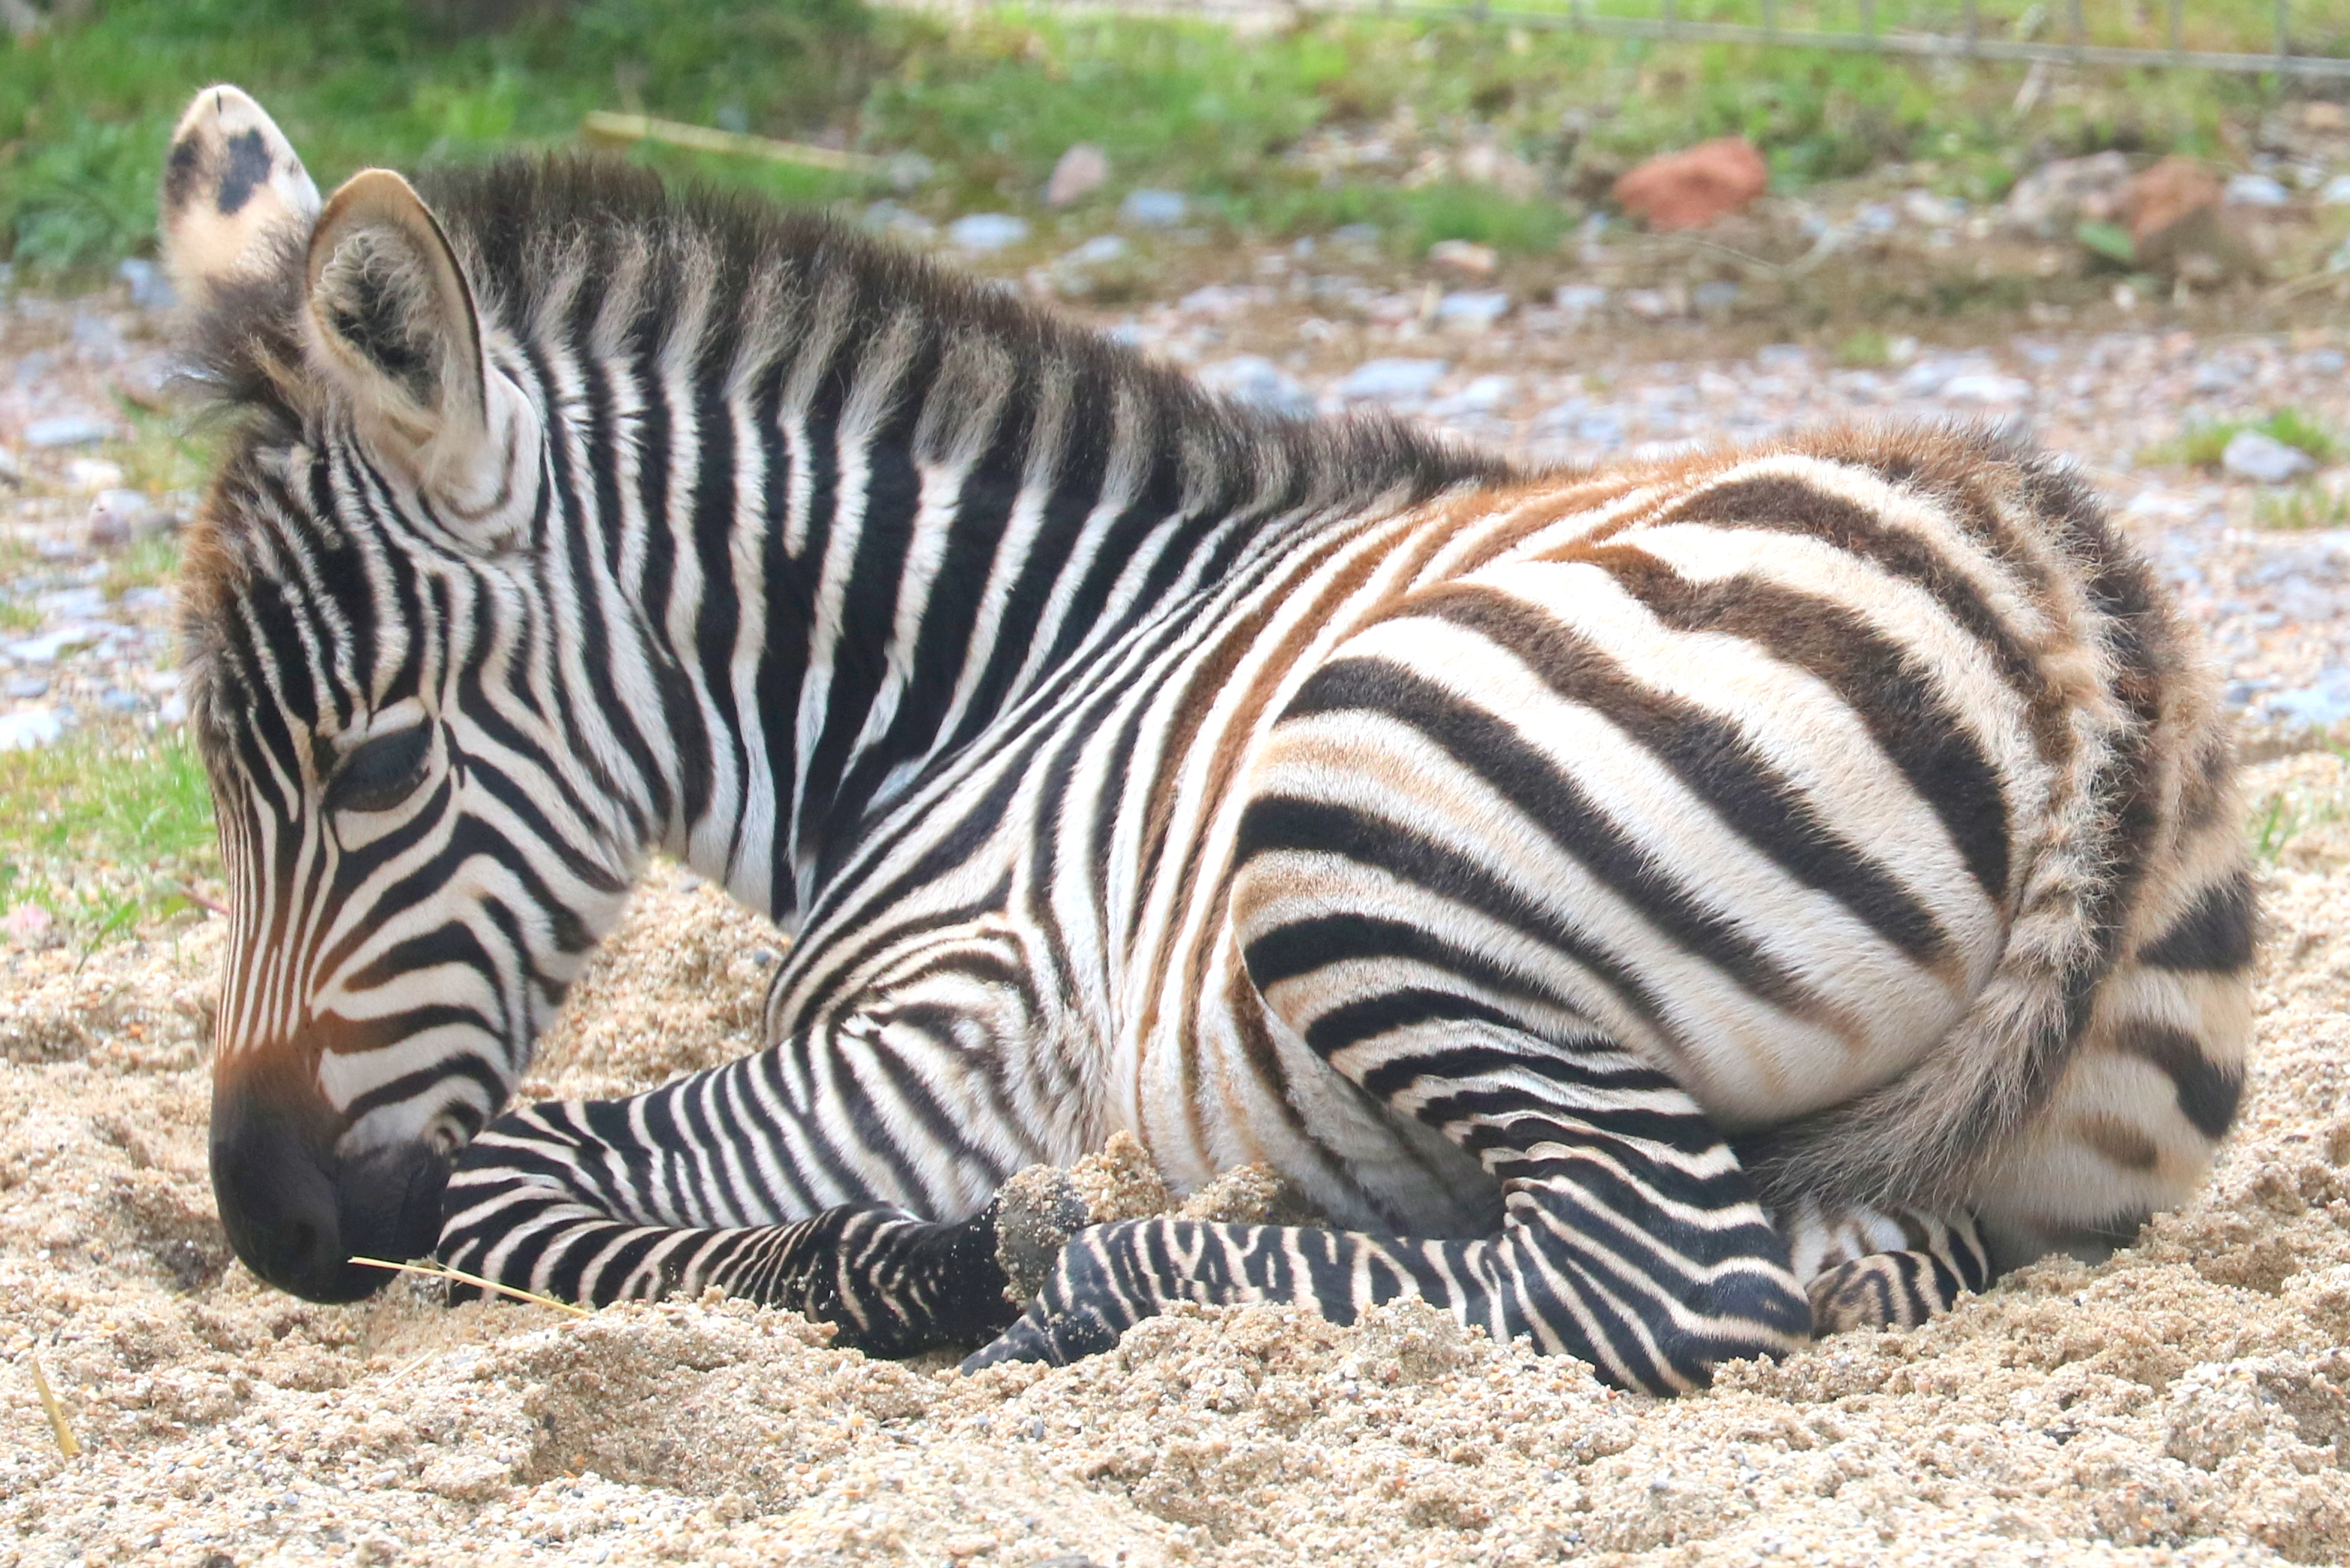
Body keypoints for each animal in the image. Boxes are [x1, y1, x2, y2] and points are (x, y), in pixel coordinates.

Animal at [166, 85, 2255, 1394]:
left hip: (1352, 809)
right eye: (212, 779)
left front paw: (904, 1261)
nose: (265, 1228)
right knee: (1832, 1253)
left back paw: (1069, 1278)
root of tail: (2074, 616)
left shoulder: (958, 1029)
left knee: (1663, 1270)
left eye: (372, 767)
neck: (983, 681)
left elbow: (503, 1178)